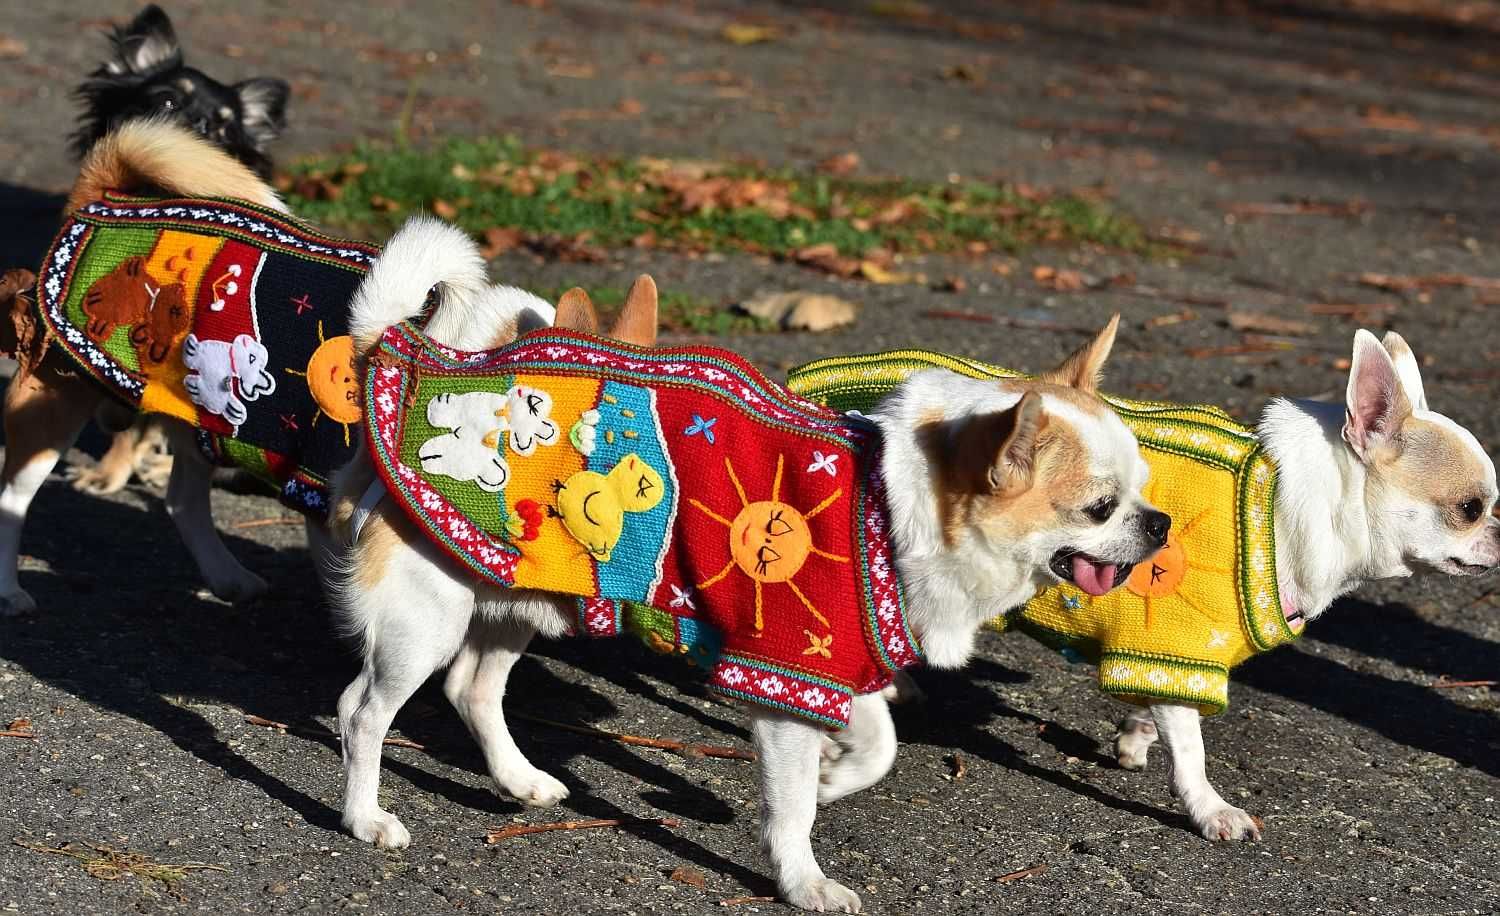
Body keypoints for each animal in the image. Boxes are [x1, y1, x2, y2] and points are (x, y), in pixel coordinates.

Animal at [328, 218, 1170, 911]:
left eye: (1144, 489)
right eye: (1099, 508)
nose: (1160, 525)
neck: (887, 500)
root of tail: (410, 365)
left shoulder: (827, 663)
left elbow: (879, 741)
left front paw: (836, 773)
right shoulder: (783, 679)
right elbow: (793, 806)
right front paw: (805, 879)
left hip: (515, 600)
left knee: (472, 689)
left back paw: (519, 778)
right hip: (426, 621)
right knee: (364, 711)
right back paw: (365, 816)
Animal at [792, 329, 1494, 845]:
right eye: (1471, 508)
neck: (1284, 504)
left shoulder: (1163, 659)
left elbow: (1161, 713)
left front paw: (1134, 735)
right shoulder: (1178, 646)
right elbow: (1192, 751)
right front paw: (1210, 810)